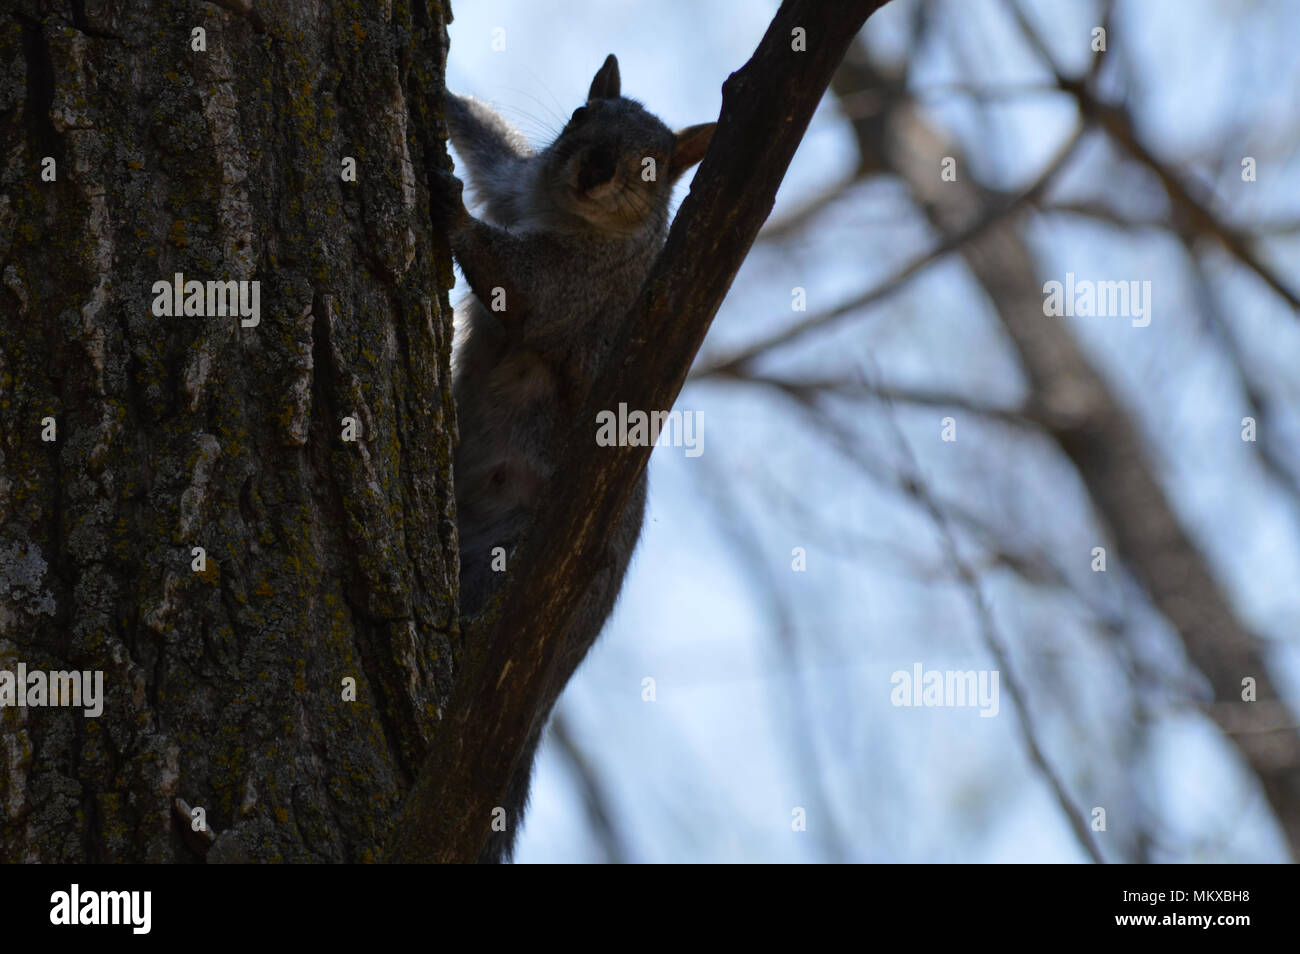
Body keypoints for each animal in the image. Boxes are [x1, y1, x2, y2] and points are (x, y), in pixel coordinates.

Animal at [434, 54, 722, 868]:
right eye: (578, 118)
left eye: (654, 167)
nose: (593, 168)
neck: (568, 217)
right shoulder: (517, 181)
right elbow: (487, 145)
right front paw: (440, 92)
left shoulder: (578, 288)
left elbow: (519, 285)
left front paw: (451, 211)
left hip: (513, 557)